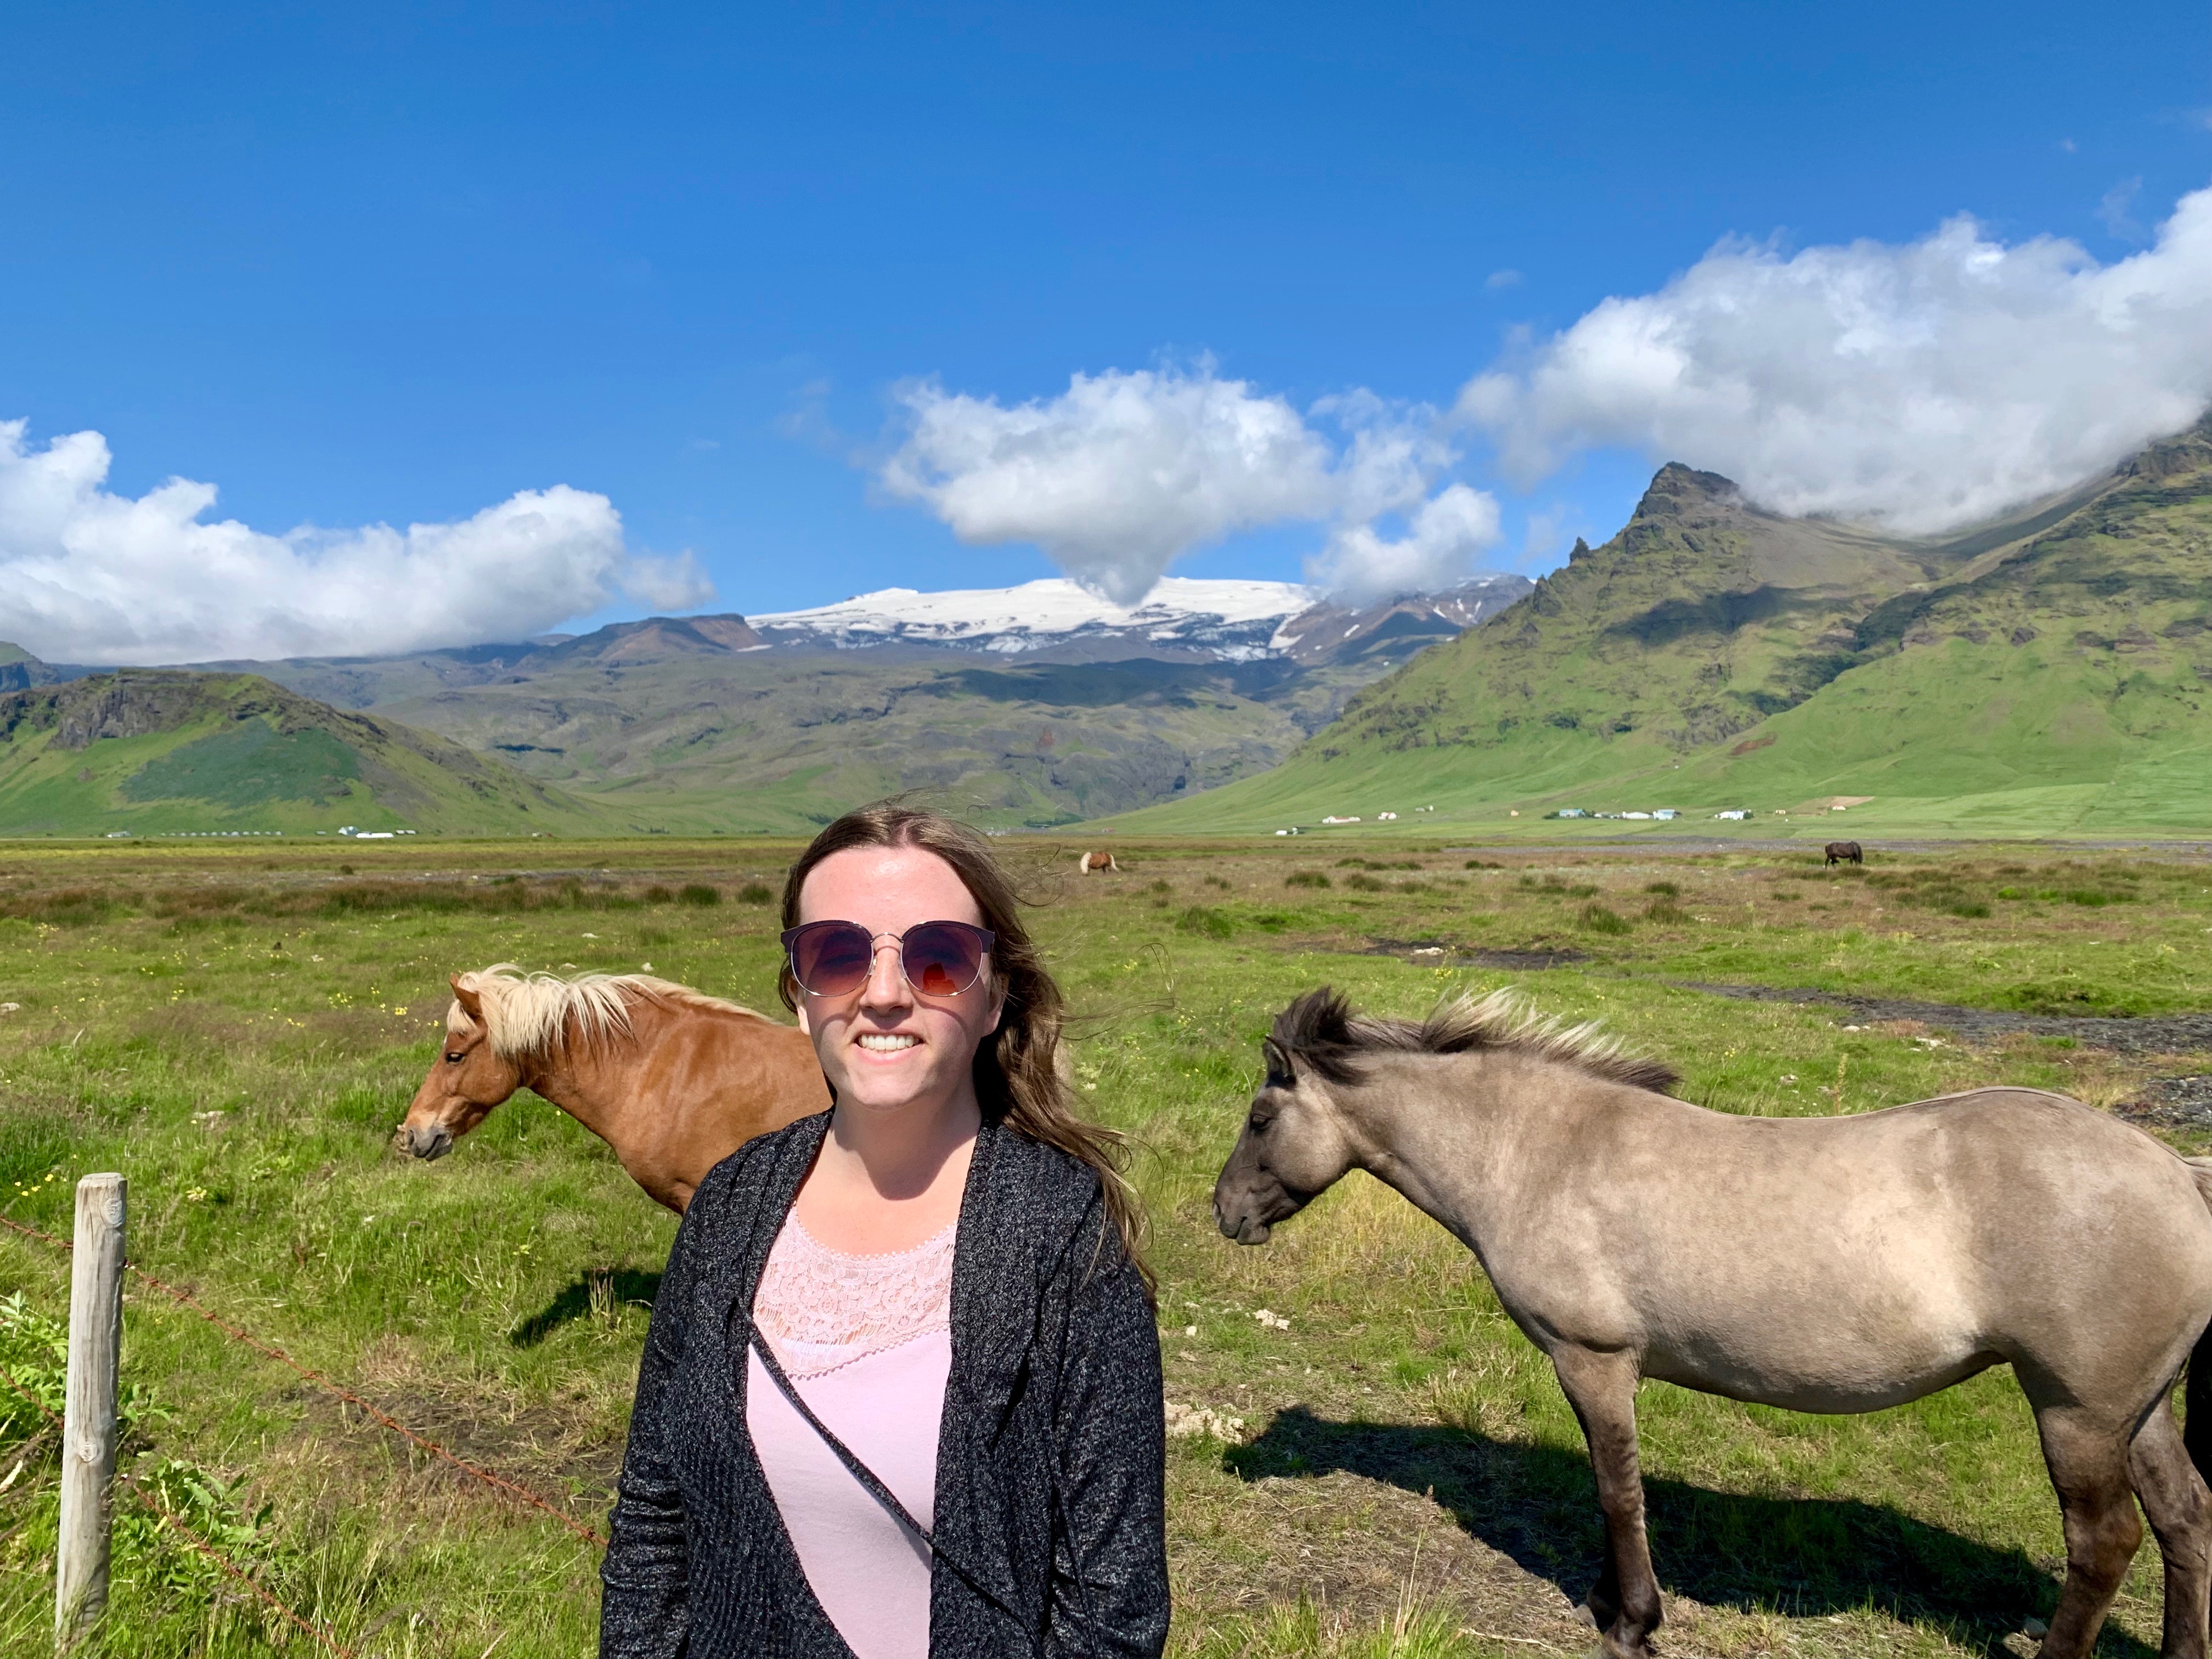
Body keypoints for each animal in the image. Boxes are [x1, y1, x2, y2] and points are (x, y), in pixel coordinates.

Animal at [1213, 987, 2212, 1659]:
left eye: (1261, 1116)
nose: (1224, 1211)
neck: (1541, 1151)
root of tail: (2175, 1168)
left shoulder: (1593, 1360)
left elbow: (1617, 1489)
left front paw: (1630, 1619)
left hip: (2076, 1413)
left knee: (2104, 1544)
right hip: (2136, 1411)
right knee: (2182, 1518)